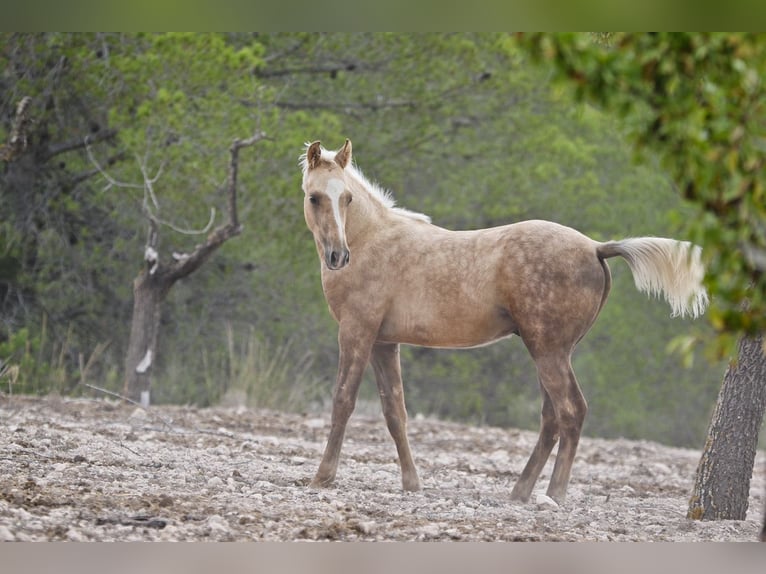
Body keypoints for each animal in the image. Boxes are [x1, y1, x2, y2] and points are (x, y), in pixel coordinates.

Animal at [300, 140, 708, 504]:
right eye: (315, 197)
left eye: (347, 198)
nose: (338, 256)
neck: (373, 240)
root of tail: (596, 247)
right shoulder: (385, 343)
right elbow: (394, 412)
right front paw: (412, 484)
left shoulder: (357, 331)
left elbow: (343, 400)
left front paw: (322, 477)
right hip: (551, 352)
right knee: (551, 418)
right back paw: (520, 491)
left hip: (548, 351)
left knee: (571, 411)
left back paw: (554, 494)